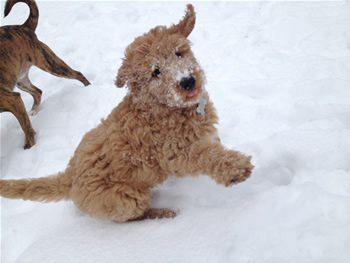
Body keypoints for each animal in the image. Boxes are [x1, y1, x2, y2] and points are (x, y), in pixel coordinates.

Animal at [0, 0, 90, 150]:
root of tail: (23, 27)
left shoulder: (13, 100)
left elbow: (26, 127)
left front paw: (29, 146)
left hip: (50, 63)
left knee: (77, 73)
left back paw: (89, 88)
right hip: (21, 80)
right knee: (37, 91)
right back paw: (34, 111)